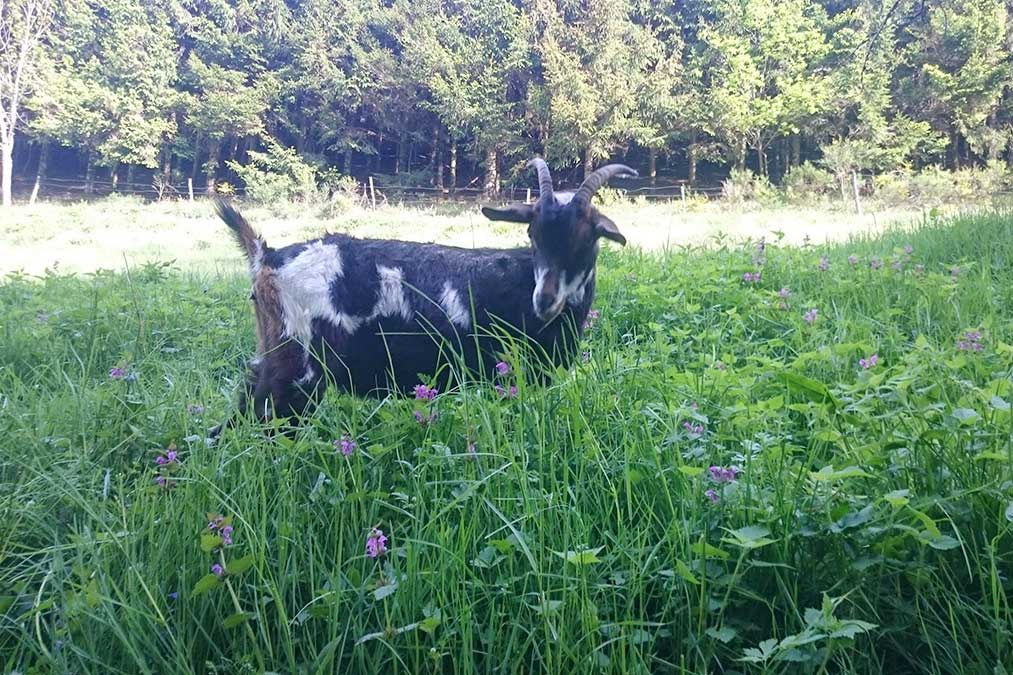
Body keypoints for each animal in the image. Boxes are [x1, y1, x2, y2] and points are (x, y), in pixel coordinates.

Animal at [211, 158, 635, 433]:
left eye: (587, 239)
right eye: (533, 235)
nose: (544, 301)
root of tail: (267, 257)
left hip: (272, 360)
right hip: (298, 370)